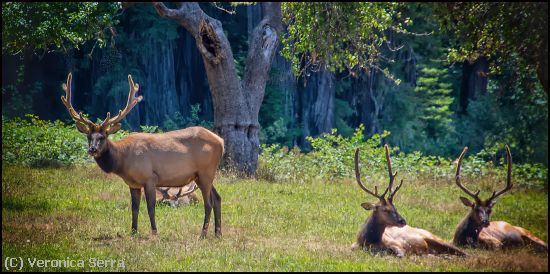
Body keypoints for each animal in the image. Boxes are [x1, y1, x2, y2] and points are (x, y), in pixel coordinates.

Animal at [60, 73, 224, 238]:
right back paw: (218, 233)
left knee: (208, 203)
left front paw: (154, 232)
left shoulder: (149, 178)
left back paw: (203, 234)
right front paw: (133, 231)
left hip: (205, 172)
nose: (92, 149)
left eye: (103, 136)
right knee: (217, 198)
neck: (123, 161)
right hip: (202, 175)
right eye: (88, 136)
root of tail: (221, 141)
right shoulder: (133, 184)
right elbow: (134, 208)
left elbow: (150, 207)